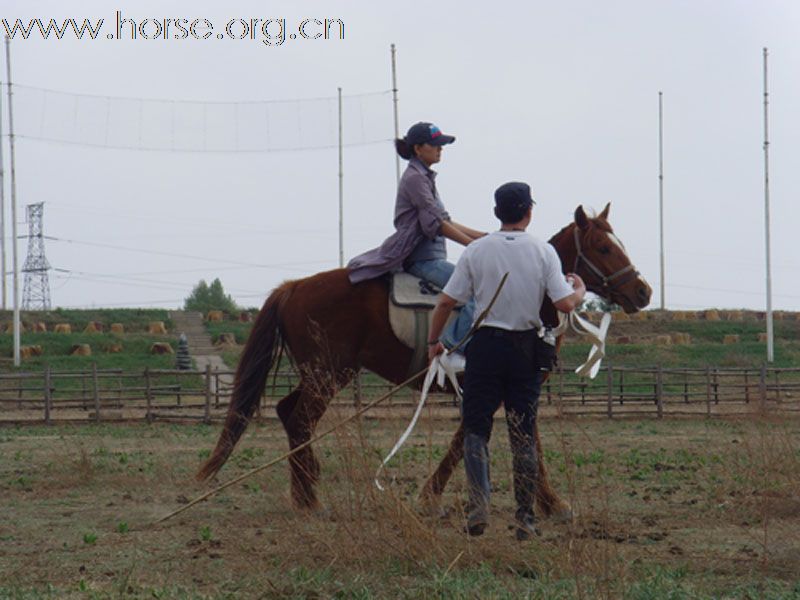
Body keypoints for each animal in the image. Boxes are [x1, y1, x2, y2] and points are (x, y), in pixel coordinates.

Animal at [198, 205, 648, 516]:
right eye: (604, 247)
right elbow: (515, 438)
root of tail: (293, 286)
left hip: (320, 374)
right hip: (328, 373)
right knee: (299, 419)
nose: (643, 291)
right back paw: (309, 498)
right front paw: (553, 503)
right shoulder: (515, 381)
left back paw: (304, 491)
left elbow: (480, 435)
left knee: (288, 412)